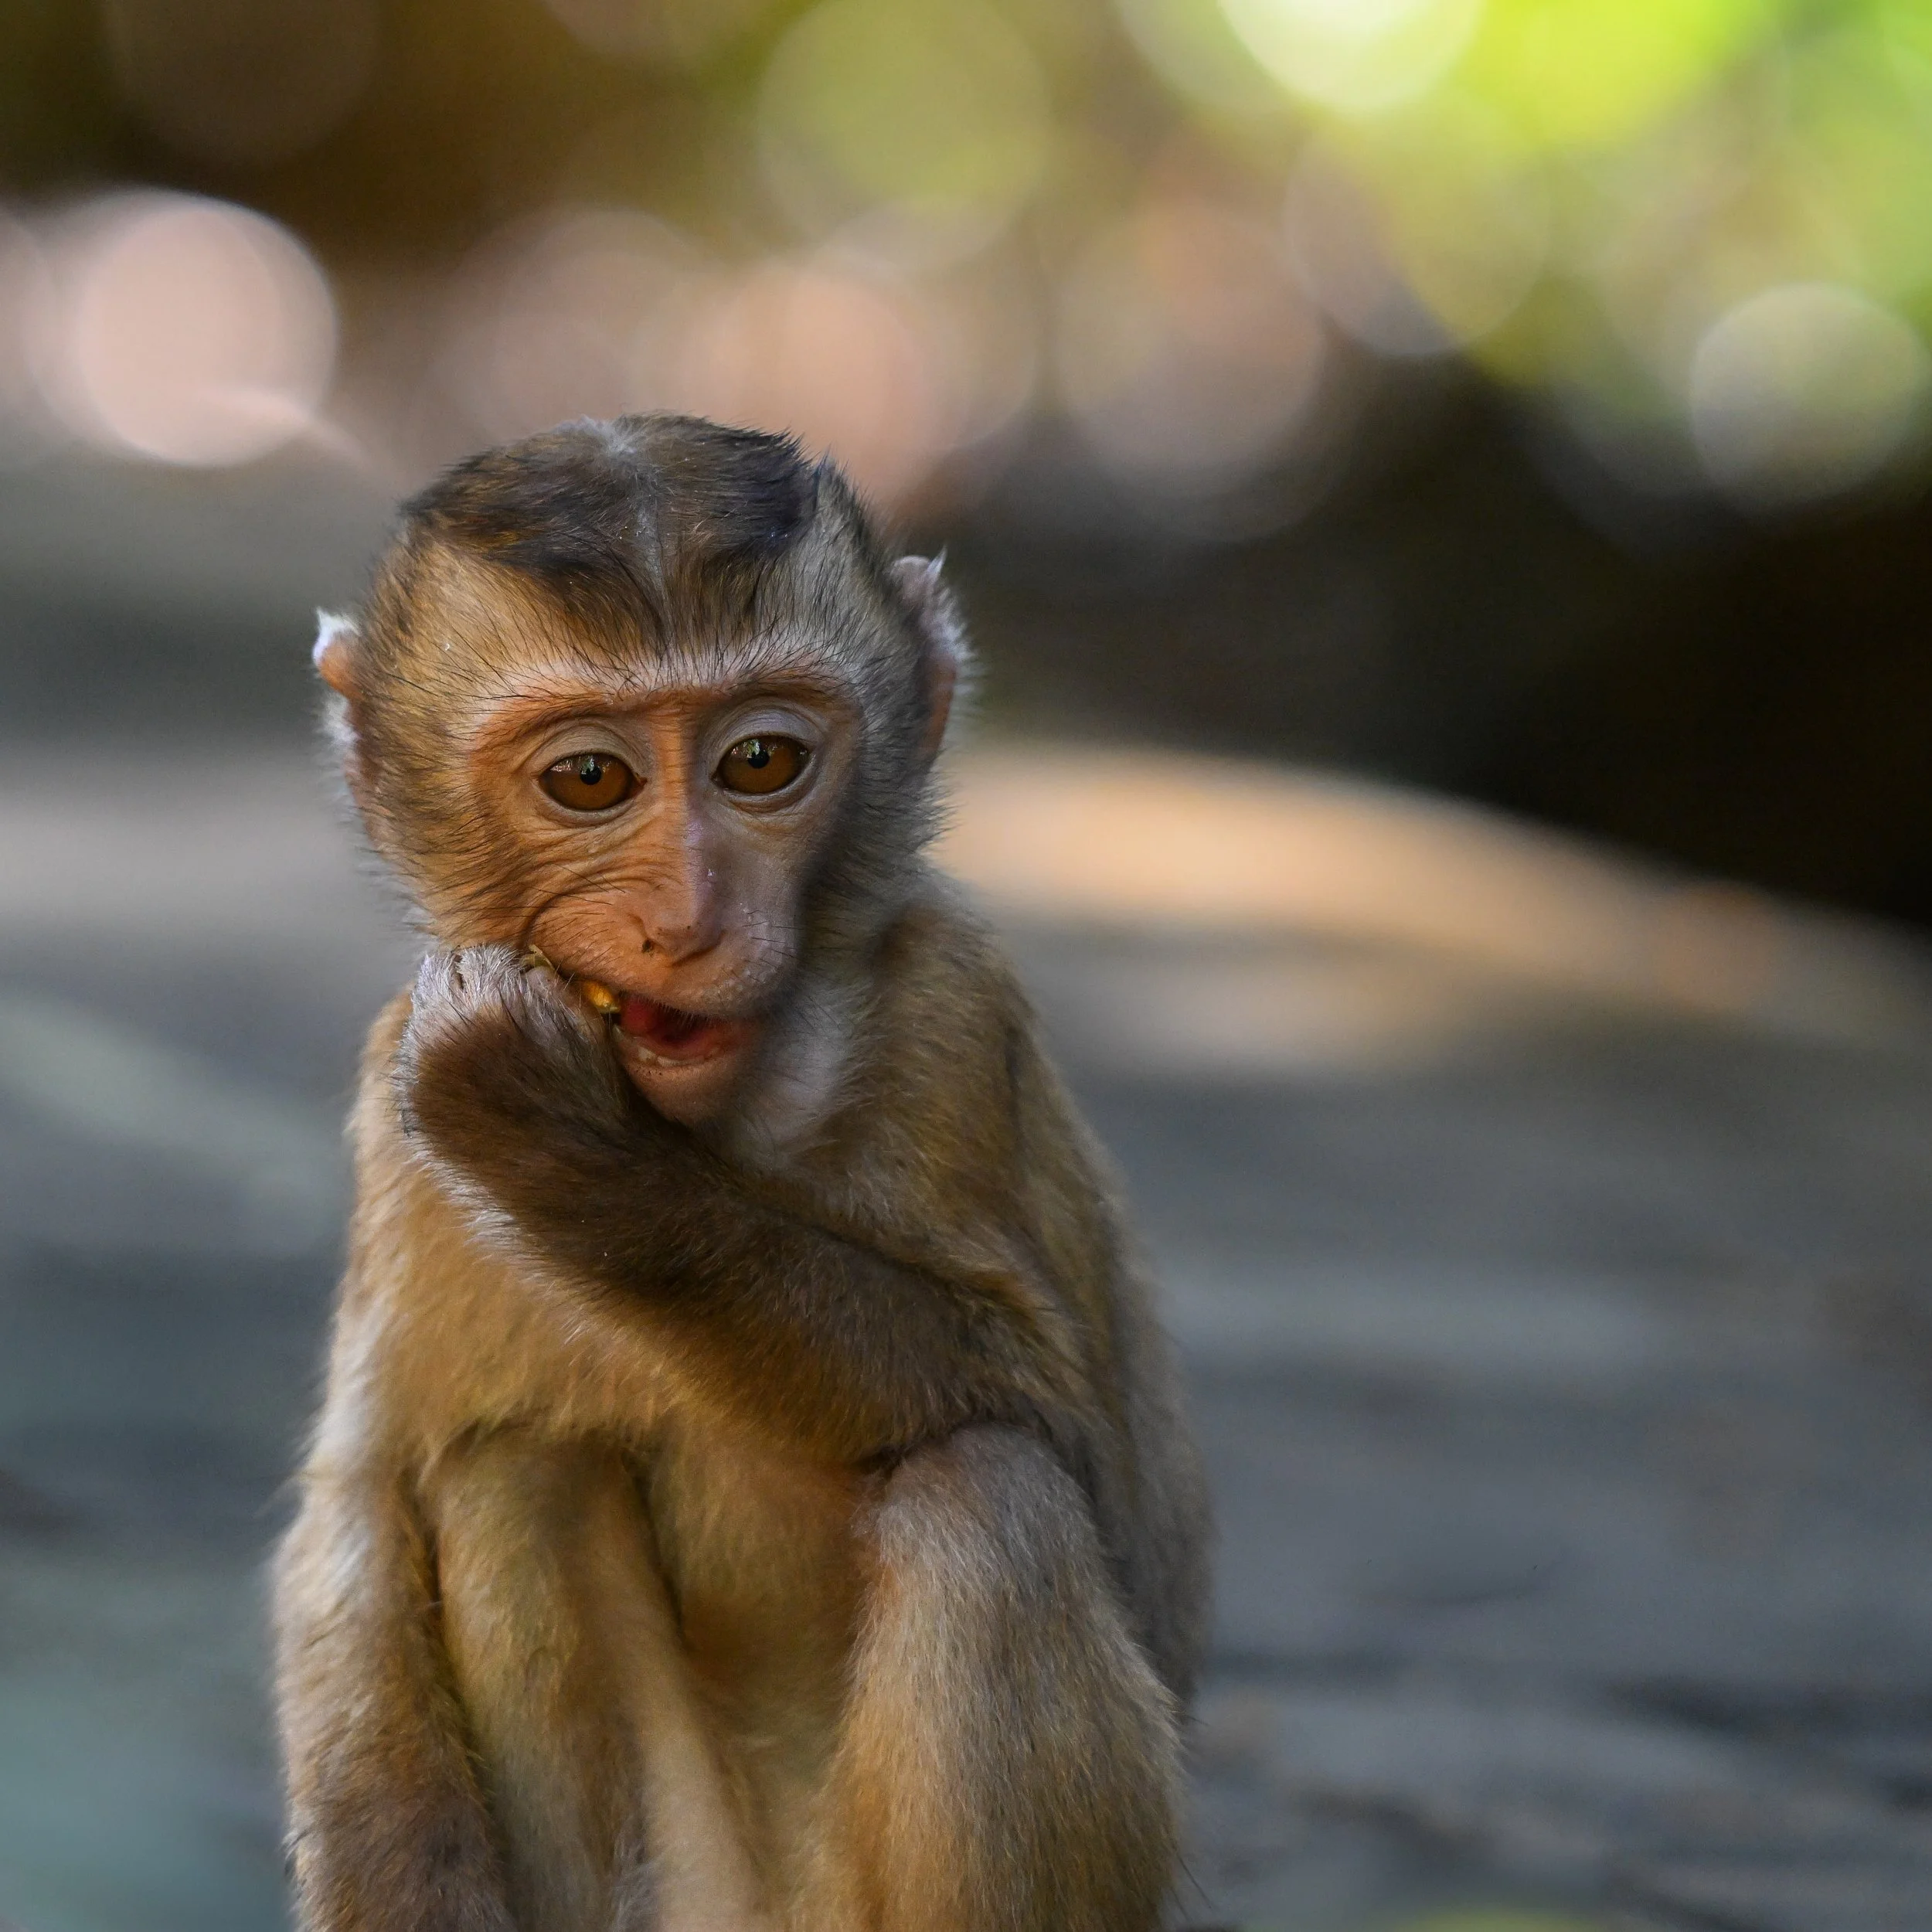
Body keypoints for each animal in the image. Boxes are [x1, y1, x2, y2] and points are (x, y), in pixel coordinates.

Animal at [274, 414, 1211, 1932]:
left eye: (762, 761)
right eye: (590, 780)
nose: (689, 917)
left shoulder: (958, 1016)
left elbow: (1065, 1427)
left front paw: (573, 1156)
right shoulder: (390, 1111)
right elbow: (357, 1528)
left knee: (987, 1505)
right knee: (512, 1479)